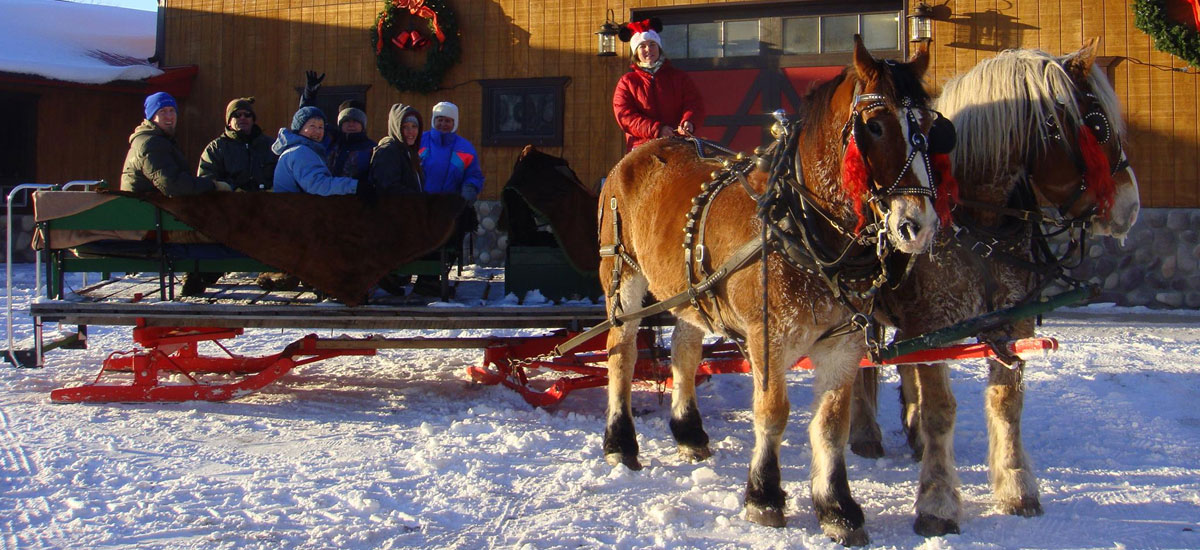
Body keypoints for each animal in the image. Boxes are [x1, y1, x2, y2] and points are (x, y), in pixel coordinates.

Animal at [849, 39, 1137, 537]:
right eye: (1098, 125)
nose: (1131, 206)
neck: (976, 222)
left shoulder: (1009, 323)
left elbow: (1006, 402)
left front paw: (1017, 487)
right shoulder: (935, 323)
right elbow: (941, 410)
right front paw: (938, 502)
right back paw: (866, 431)